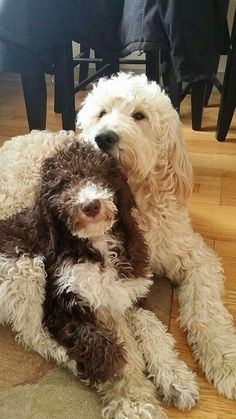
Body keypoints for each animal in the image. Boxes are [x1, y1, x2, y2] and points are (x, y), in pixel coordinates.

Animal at [0, 74, 235, 418]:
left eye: (139, 115)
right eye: (101, 113)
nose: (104, 138)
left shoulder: (190, 256)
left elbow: (205, 311)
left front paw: (225, 361)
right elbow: (122, 348)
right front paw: (133, 399)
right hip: (25, 265)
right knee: (32, 329)